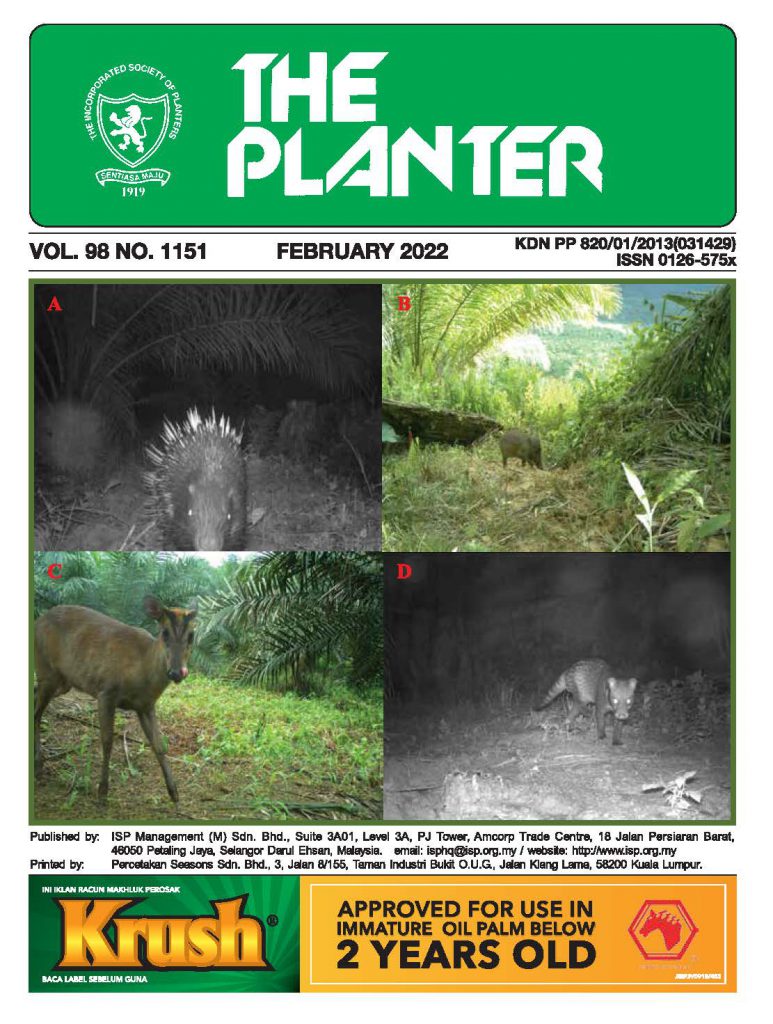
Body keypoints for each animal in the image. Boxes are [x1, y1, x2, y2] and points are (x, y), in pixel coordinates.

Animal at [34, 595, 197, 806]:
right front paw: (102, 791)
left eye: (191, 635)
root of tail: (38, 620)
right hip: (46, 670)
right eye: (165, 633)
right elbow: (107, 741)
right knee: (37, 714)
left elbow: (159, 745)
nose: (177, 672)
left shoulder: (146, 705)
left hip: (63, 681)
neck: (142, 671)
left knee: (34, 695)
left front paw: (174, 794)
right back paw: (38, 764)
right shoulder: (105, 691)